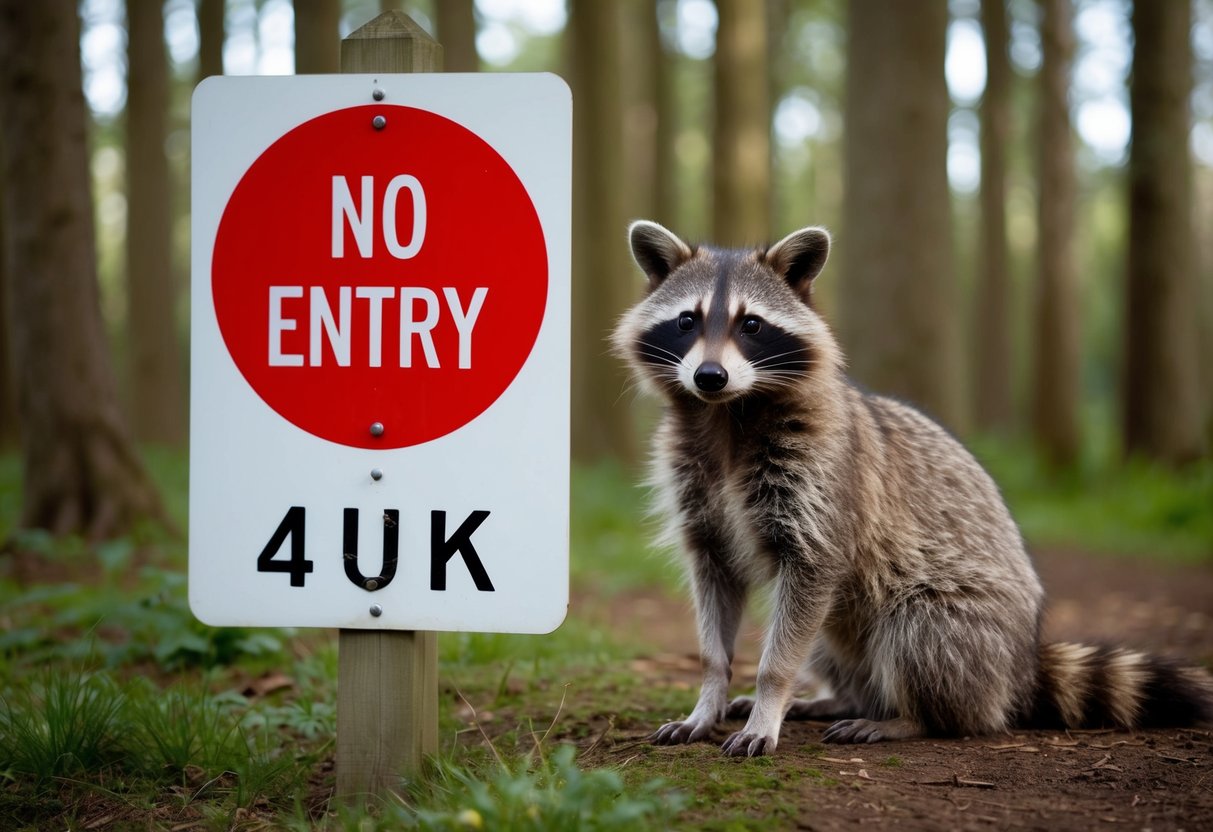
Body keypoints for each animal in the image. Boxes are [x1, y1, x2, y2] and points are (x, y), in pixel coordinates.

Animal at [612, 220, 1213, 756]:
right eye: (687, 320)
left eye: (751, 325)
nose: (709, 376)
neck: (726, 415)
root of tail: (1019, 667)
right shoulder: (698, 494)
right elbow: (714, 599)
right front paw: (709, 697)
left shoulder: (824, 483)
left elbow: (804, 595)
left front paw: (769, 698)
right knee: (829, 639)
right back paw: (839, 698)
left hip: (961, 621)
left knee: (919, 636)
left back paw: (909, 718)